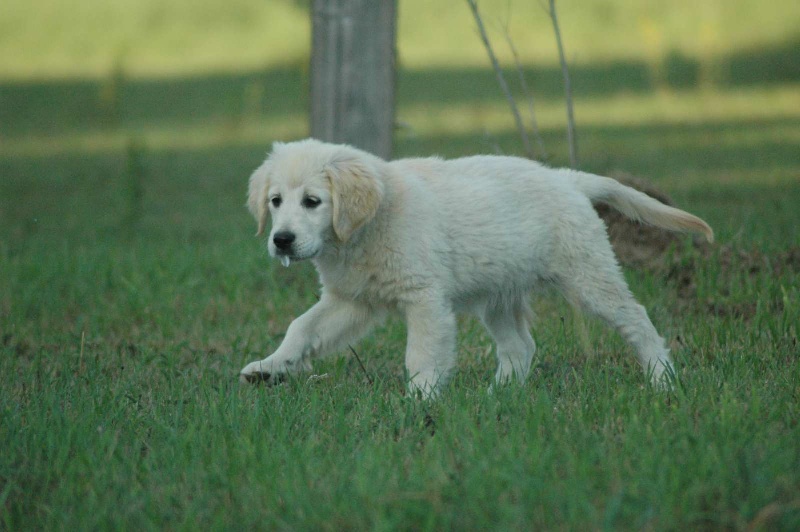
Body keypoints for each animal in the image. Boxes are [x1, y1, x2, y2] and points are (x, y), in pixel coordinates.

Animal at [239, 139, 712, 396]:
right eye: (275, 201)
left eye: (312, 202)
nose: (281, 240)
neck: (361, 232)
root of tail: (567, 178)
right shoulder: (351, 299)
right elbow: (302, 327)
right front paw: (270, 367)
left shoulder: (424, 298)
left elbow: (421, 354)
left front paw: (419, 400)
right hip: (499, 294)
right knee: (520, 347)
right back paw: (496, 395)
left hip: (589, 275)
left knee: (636, 318)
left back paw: (662, 377)